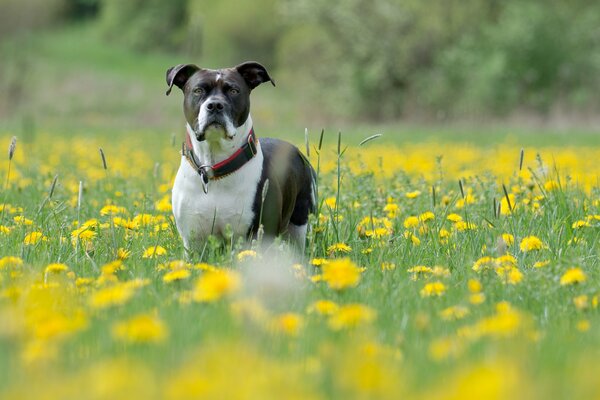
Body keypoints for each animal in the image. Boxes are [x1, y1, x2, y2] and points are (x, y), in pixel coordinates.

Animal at [163, 61, 314, 252]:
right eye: (198, 90)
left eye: (234, 91)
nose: (215, 105)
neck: (214, 168)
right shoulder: (193, 241)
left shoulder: (261, 234)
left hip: (301, 224)